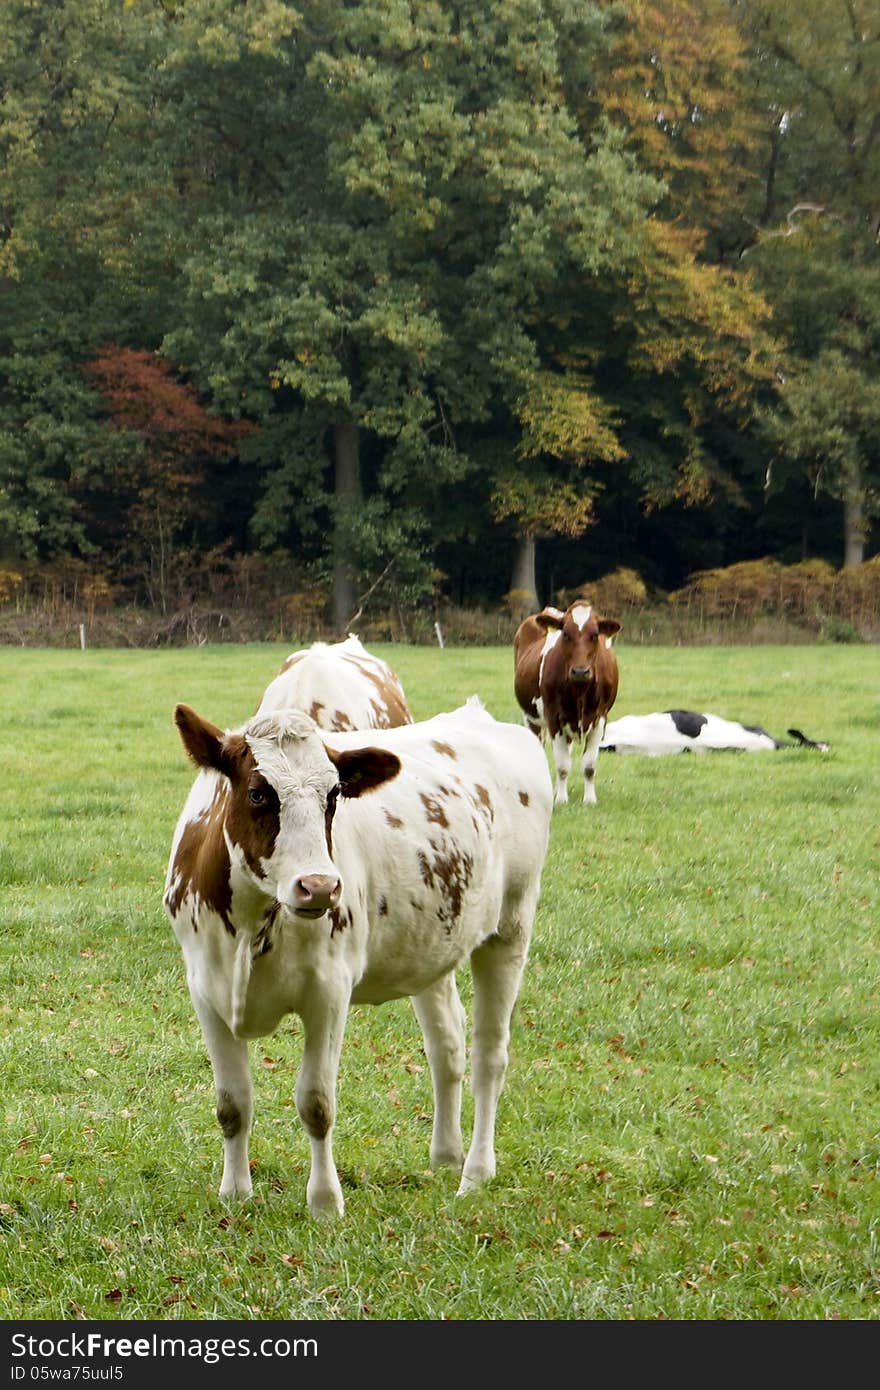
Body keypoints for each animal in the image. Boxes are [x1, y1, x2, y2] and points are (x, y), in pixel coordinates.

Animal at [161, 695, 553, 1217]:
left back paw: (474, 1172)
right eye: (259, 793)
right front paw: (235, 1193)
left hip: (511, 926)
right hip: (432, 946)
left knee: (490, 1054)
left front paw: (325, 1202)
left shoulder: (328, 992)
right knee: (446, 1044)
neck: (248, 925)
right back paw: (445, 1154)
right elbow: (232, 1103)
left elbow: (316, 1103)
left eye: (333, 796)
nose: (319, 886)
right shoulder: (206, 991)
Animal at [511, 603, 620, 811]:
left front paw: (589, 800)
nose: (580, 671)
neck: (580, 690)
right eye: (566, 634)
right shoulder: (554, 718)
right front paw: (561, 800)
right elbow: (562, 766)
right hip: (531, 718)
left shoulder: (600, 718)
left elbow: (589, 765)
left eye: (595, 635)